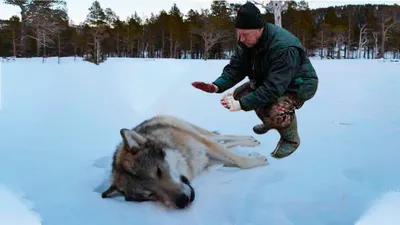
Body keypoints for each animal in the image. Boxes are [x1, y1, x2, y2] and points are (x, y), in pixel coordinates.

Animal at [101, 115, 268, 210]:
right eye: (149, 195)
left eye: (158, 171)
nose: (183, 201)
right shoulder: (206, 158)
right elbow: (233, 159)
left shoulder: (204, 146)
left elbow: (241, 161)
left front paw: (258, 159)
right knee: (224, 142)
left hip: (197, 133)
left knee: (220, 136)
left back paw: (249, 140)